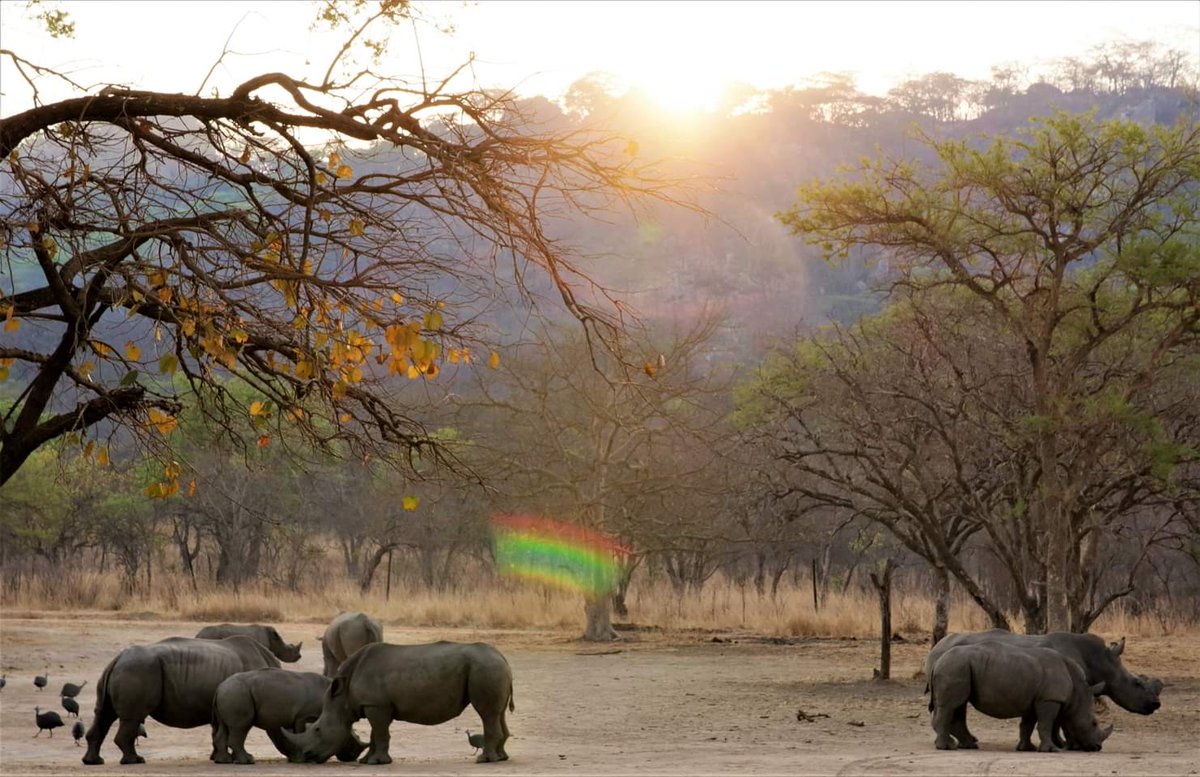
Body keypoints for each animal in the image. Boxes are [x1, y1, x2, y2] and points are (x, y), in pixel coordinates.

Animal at [82, 636, 280, 765]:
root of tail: (117, 659)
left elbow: (216, 730)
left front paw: (216, 757)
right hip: (137, 670)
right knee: (132, 718)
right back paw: (135, 761)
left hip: (123, 670)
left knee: (104, 715)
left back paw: (94, 761)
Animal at [211, 668, 366, 764]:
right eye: (351, 740)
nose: (352, 757)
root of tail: (219, 687)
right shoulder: (303, 715)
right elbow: (300, 733)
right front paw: (301, 759)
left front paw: (296, 758)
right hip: (237, 693)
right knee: (241, 727)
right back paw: (248, 761)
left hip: (230, 692)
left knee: (224, 726)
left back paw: (223, 761)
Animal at [283, 641, 515, 765]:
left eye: (317, 730)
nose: (307, 756)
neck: (342, 700)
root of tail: (503, 657)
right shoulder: (375, 705)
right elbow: (375, 734)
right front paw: (367, 761)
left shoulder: (377, 705)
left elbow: (380, 733)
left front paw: (376, 763)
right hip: (491, 668)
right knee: (499, 713)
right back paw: (502, 758)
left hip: (484, 668)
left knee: (486, 714)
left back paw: (485, 760)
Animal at [930, 641, 1112, 752]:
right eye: (1094, 723)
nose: (1097, 747)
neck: (1078, 693)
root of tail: (937, 661)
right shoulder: (1049, 699)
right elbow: (1045, 724)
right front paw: (1050, 750)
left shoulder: (1034, 700)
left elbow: (1027, 725)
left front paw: (1027, 748)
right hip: (954, 667)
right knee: (951, 706)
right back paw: (946, 747)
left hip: (958, 667)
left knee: (958, 706)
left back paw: (967, 745)